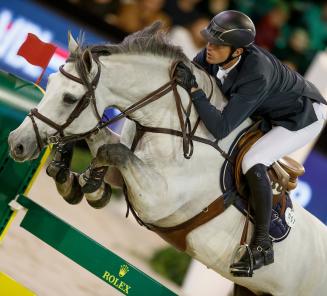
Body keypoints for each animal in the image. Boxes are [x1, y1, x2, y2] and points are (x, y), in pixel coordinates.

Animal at [7, 23, 327, 296]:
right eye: (49, 81)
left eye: (70, 99)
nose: (16, 144)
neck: (168, 122)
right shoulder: (130, 172)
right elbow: (103, 143)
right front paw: (75, 178)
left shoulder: (158, 200)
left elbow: (111, 151)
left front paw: (89, 184)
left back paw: (256, 255)